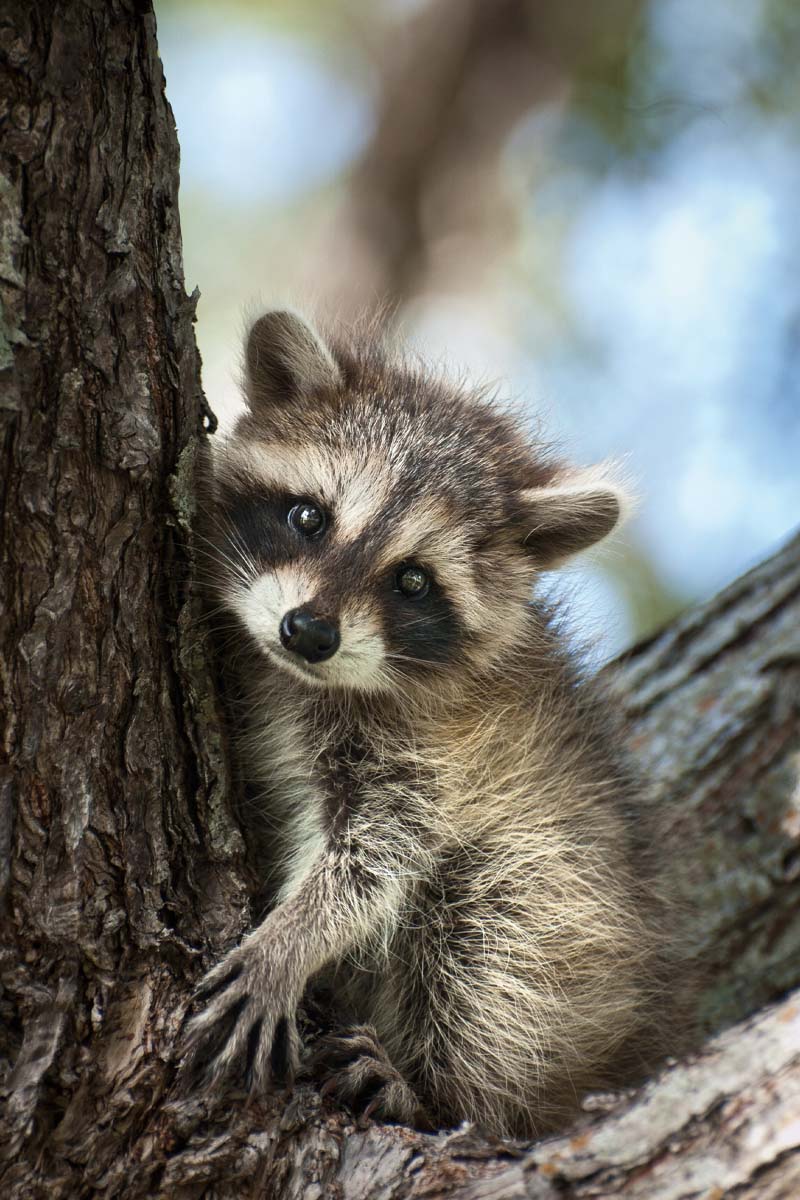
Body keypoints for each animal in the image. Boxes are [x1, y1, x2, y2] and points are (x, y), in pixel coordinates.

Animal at [184, 309, 678, 1139]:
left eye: (413, 581)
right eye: (309, 517)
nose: (307, 632)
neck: (304, 679)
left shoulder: (435, 749)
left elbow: (376, 855)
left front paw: (293, 938)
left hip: (561, 900)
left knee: (497, 958)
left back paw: (443, 1091)